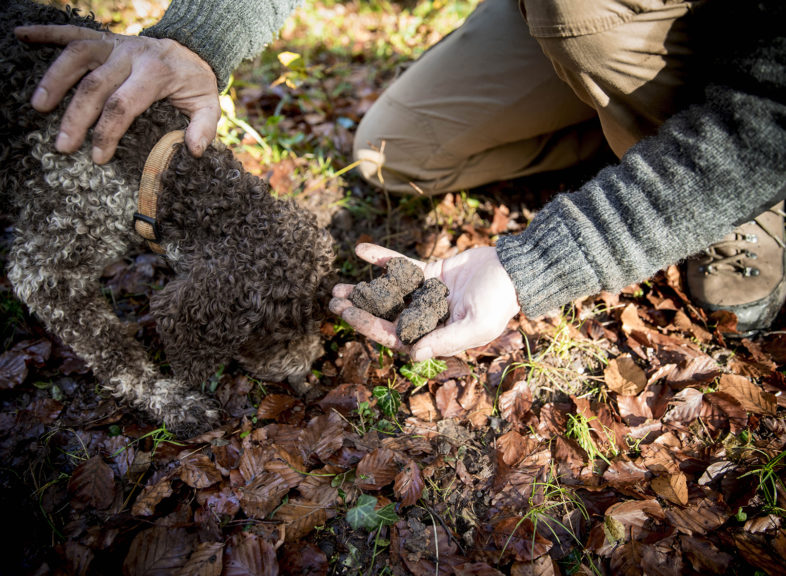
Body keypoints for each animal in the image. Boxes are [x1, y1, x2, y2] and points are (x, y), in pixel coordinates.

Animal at [0, 0, 334, 436]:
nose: (307, 369)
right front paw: (169, 401)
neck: (154, 168)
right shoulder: (49, 268)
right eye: (275, 327)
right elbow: (113, 351)